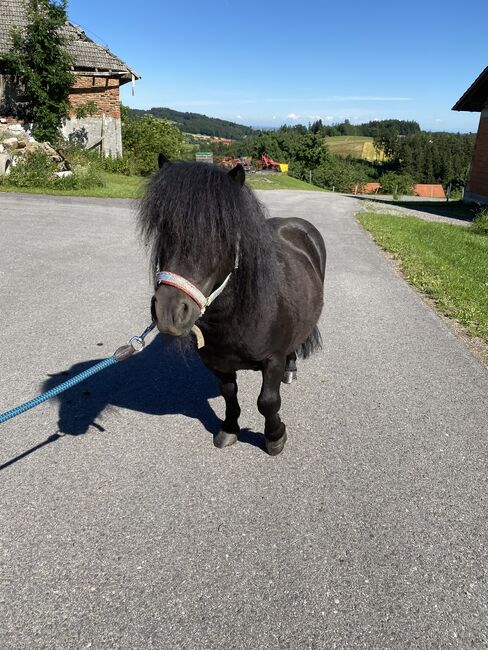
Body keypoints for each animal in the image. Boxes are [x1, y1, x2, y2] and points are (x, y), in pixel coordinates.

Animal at [139, 159, 326, 454]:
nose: (169, 312)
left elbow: (267, 402)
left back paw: (291, 369)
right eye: (165, 228)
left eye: (222, 233)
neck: (238, 316)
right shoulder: (218, 364)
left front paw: (275, 436)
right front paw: (229, 429)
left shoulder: (273, 359)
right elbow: (229, 395)